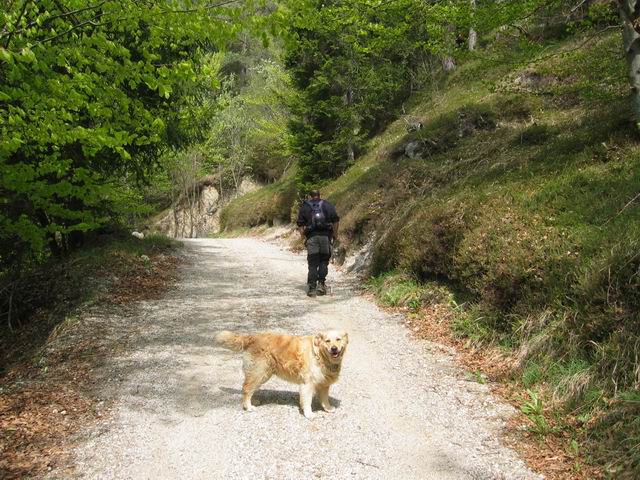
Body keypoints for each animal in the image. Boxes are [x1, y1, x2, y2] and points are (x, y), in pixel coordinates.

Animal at [215, 328, 348, 418]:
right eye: (327, 341)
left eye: (338, 339)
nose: (334, 349)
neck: (319, 355)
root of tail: (252, 337)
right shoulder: (307, 383)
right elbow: (307, 400)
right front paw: (309, 414)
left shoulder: (324, 383)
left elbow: (325, 398)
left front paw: (328, 408)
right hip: (259, 372)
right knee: (247, 388)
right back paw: (248, 406)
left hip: (262, 374)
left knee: (249, 388)